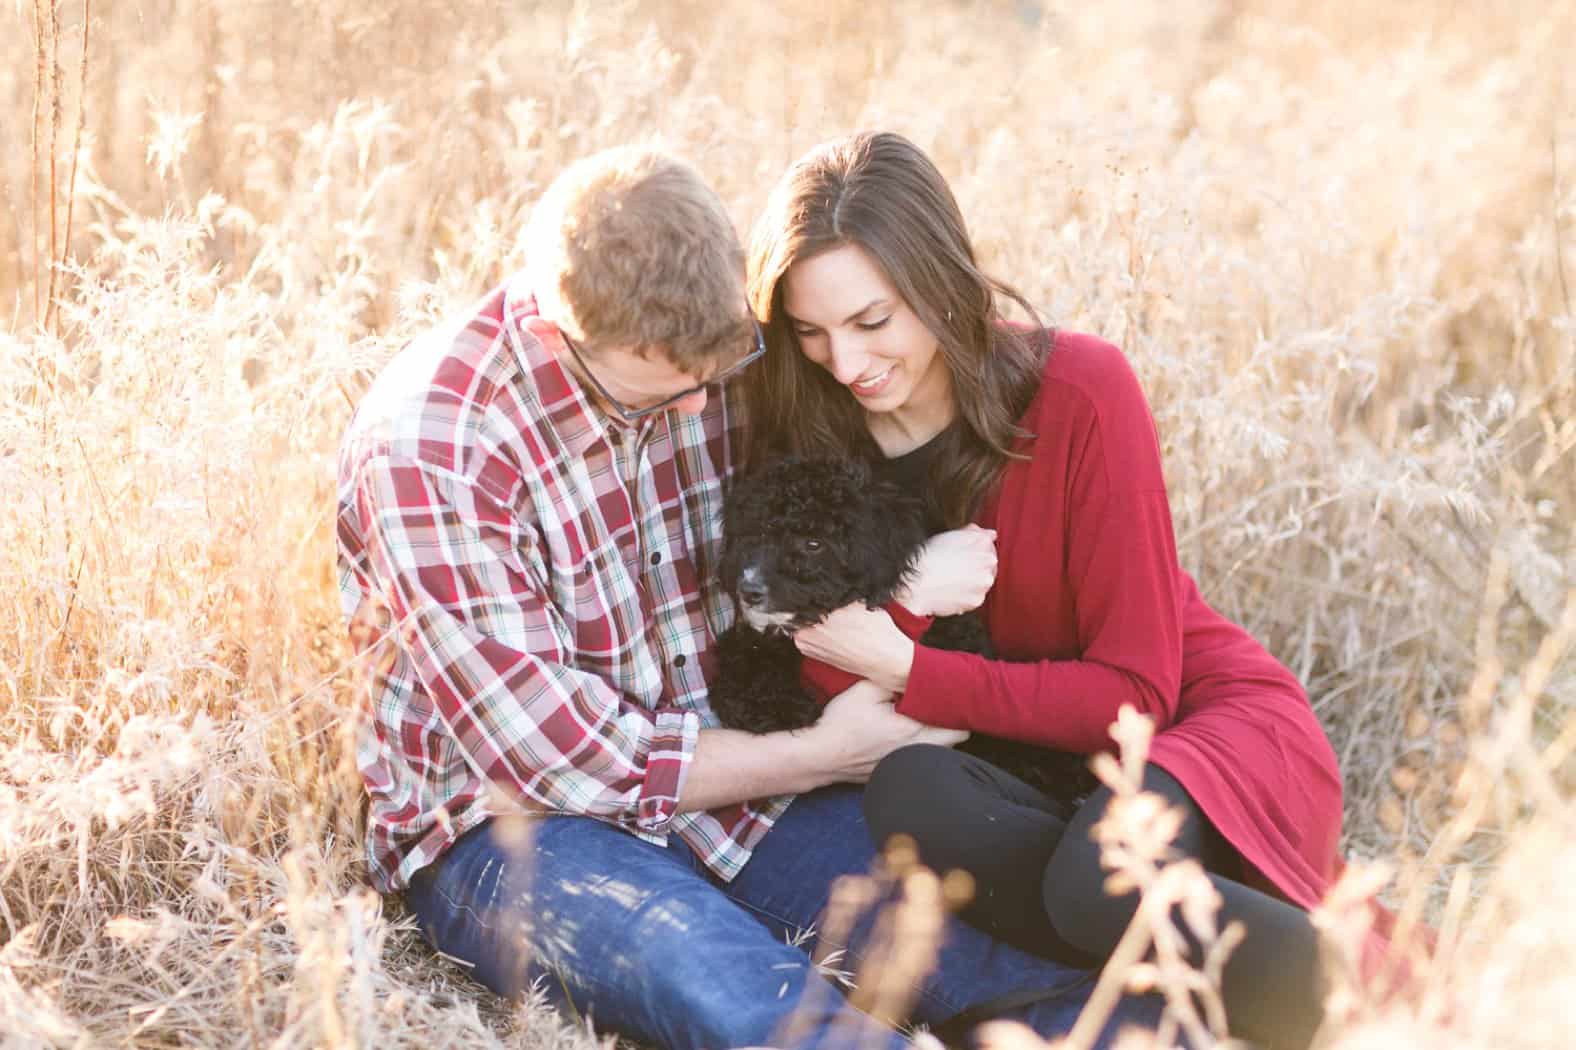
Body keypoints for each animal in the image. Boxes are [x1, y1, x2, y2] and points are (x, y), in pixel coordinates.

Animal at [712, 454, 1096, 813]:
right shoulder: (764, 641)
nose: (749, 589)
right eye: (758, 532)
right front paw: (774, 705)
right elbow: (741, 655)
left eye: (813, 543)